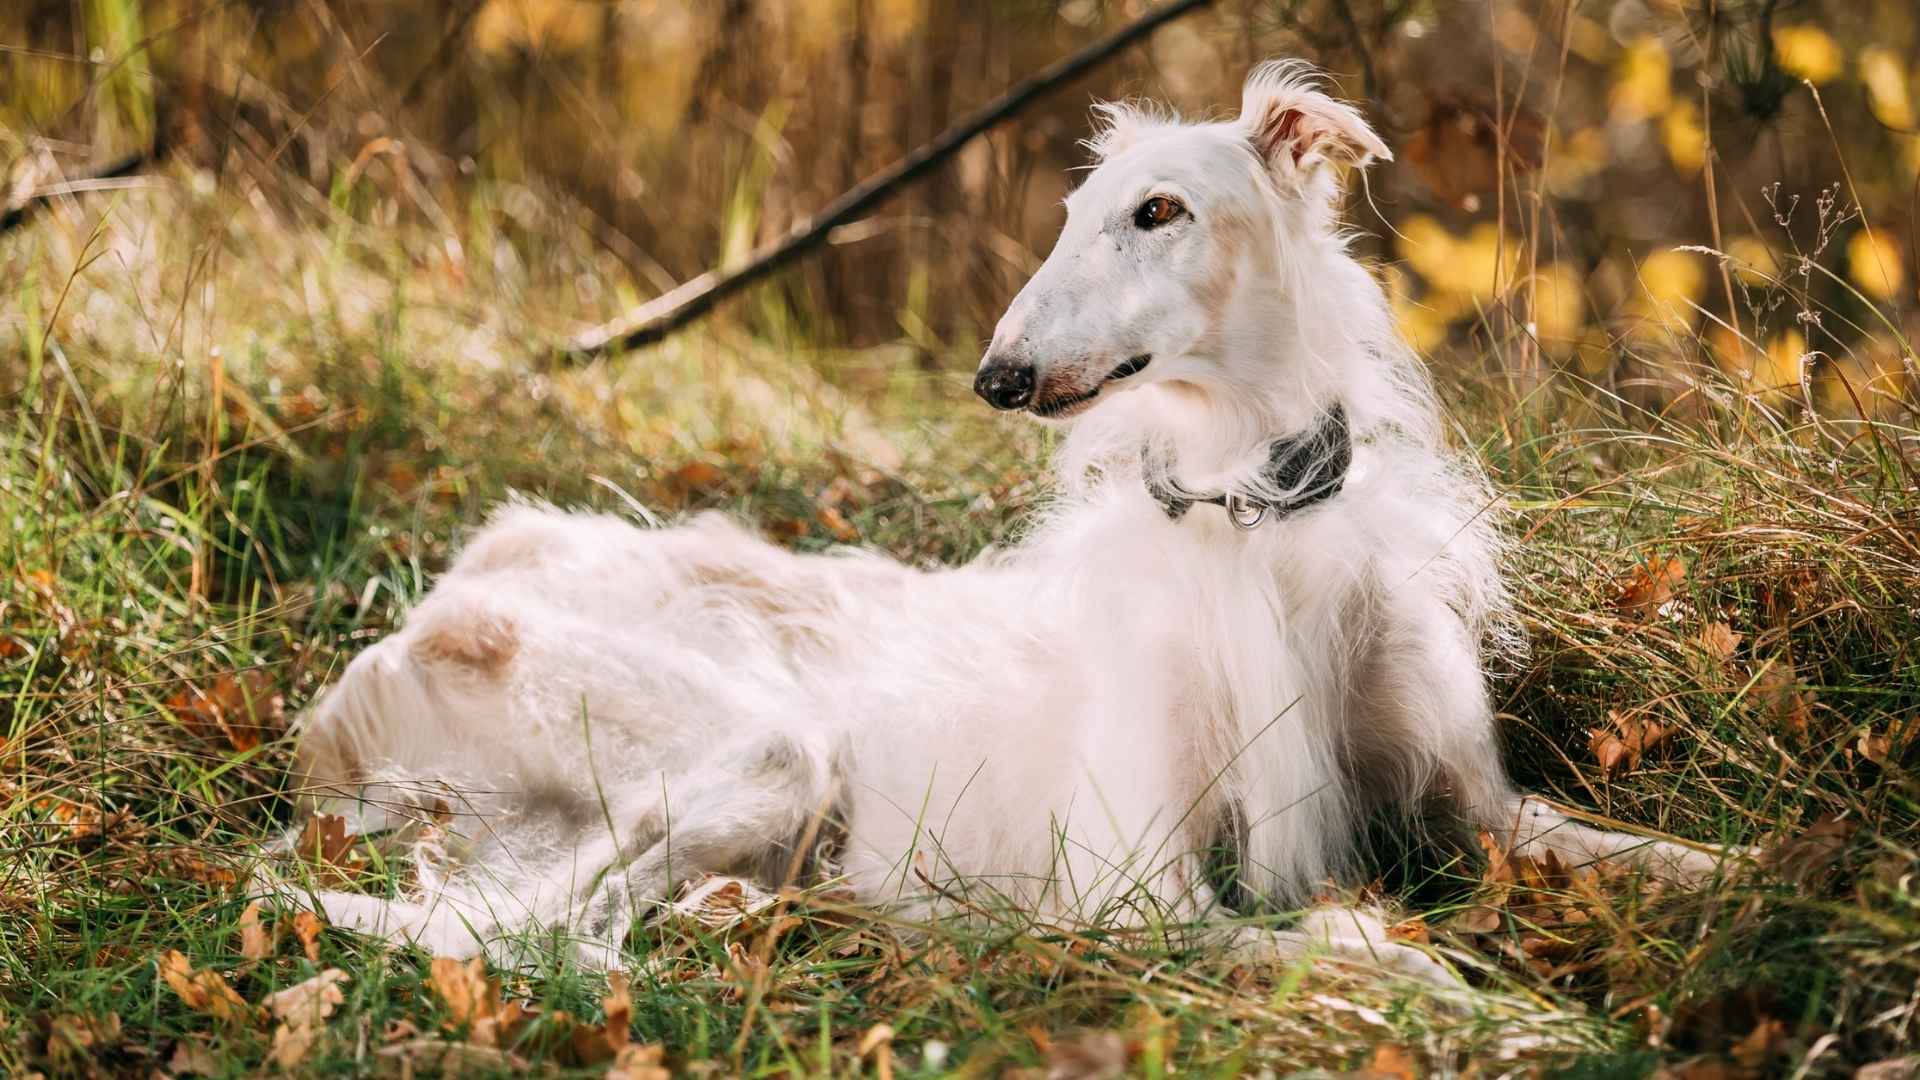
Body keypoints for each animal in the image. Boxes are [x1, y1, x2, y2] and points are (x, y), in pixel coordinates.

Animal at [280, 62, 1728, 980]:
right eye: (1074, 216)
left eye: (1158, 210)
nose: (999, 377)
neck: (1250, 515)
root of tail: (457, 577)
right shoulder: (1130, 892)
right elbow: (1372, 964)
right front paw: (1494, 1008)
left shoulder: (1485, 809)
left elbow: (1651, 854)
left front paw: (1764, 888)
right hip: (764, 749)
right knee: (536, 924)